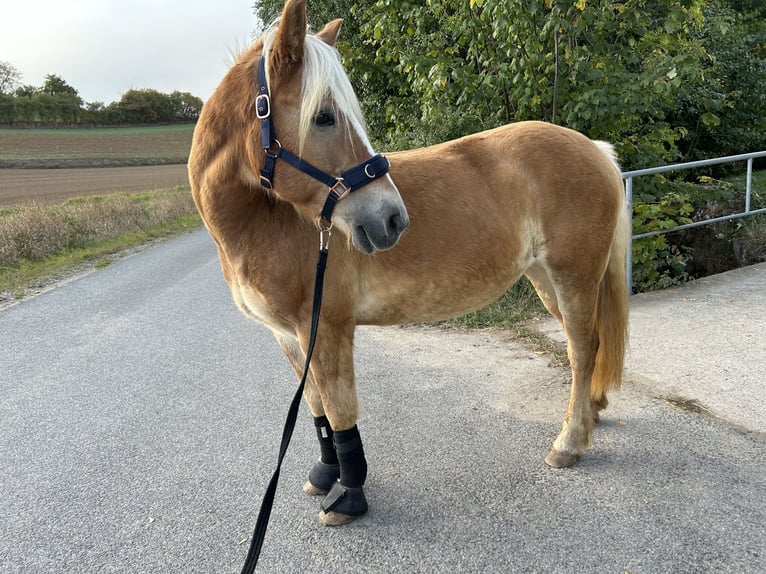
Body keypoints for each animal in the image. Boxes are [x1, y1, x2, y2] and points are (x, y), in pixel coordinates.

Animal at [190, 0, 632, 528]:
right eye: (324, 117)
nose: (392, 219)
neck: (264, 221)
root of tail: (595, 148)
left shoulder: (328, 328)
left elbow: (340, 409)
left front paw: (349, 495)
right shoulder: (290, 336)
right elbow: (317, 408)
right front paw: (324, 475)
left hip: (573, 275)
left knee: (583, 350)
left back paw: (568, 442)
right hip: (548, 280)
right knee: (585, 344)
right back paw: (591, 412)